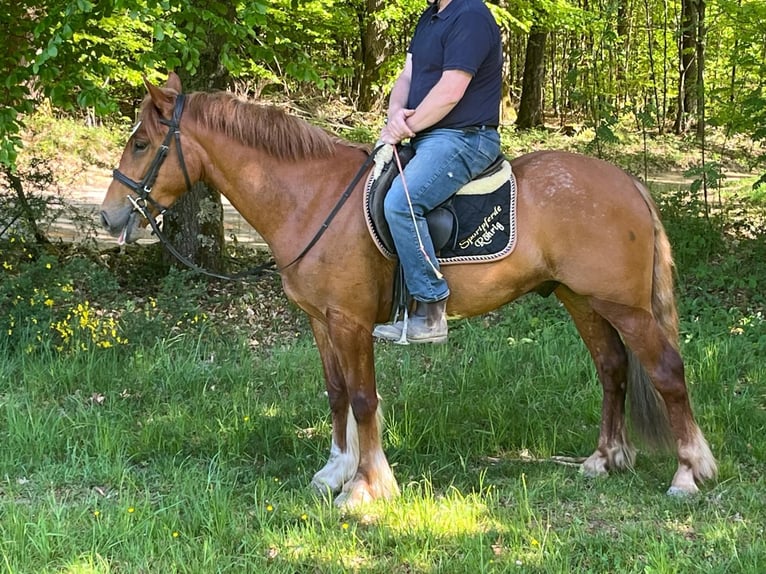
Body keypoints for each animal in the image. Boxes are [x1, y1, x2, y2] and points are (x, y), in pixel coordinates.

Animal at [100, 73, 717, 507]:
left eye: (140, 144)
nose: (108, 217)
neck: (311, 198)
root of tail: (627, 183)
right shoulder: (321, 320)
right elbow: (337, 394)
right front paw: (334, 473)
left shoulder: (351, 321)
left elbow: (363, 398)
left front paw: (366, 487)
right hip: (581, 299)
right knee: (612, 367)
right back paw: (604, 459)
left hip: (624, 305)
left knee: (666, 371)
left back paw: (689, 474)